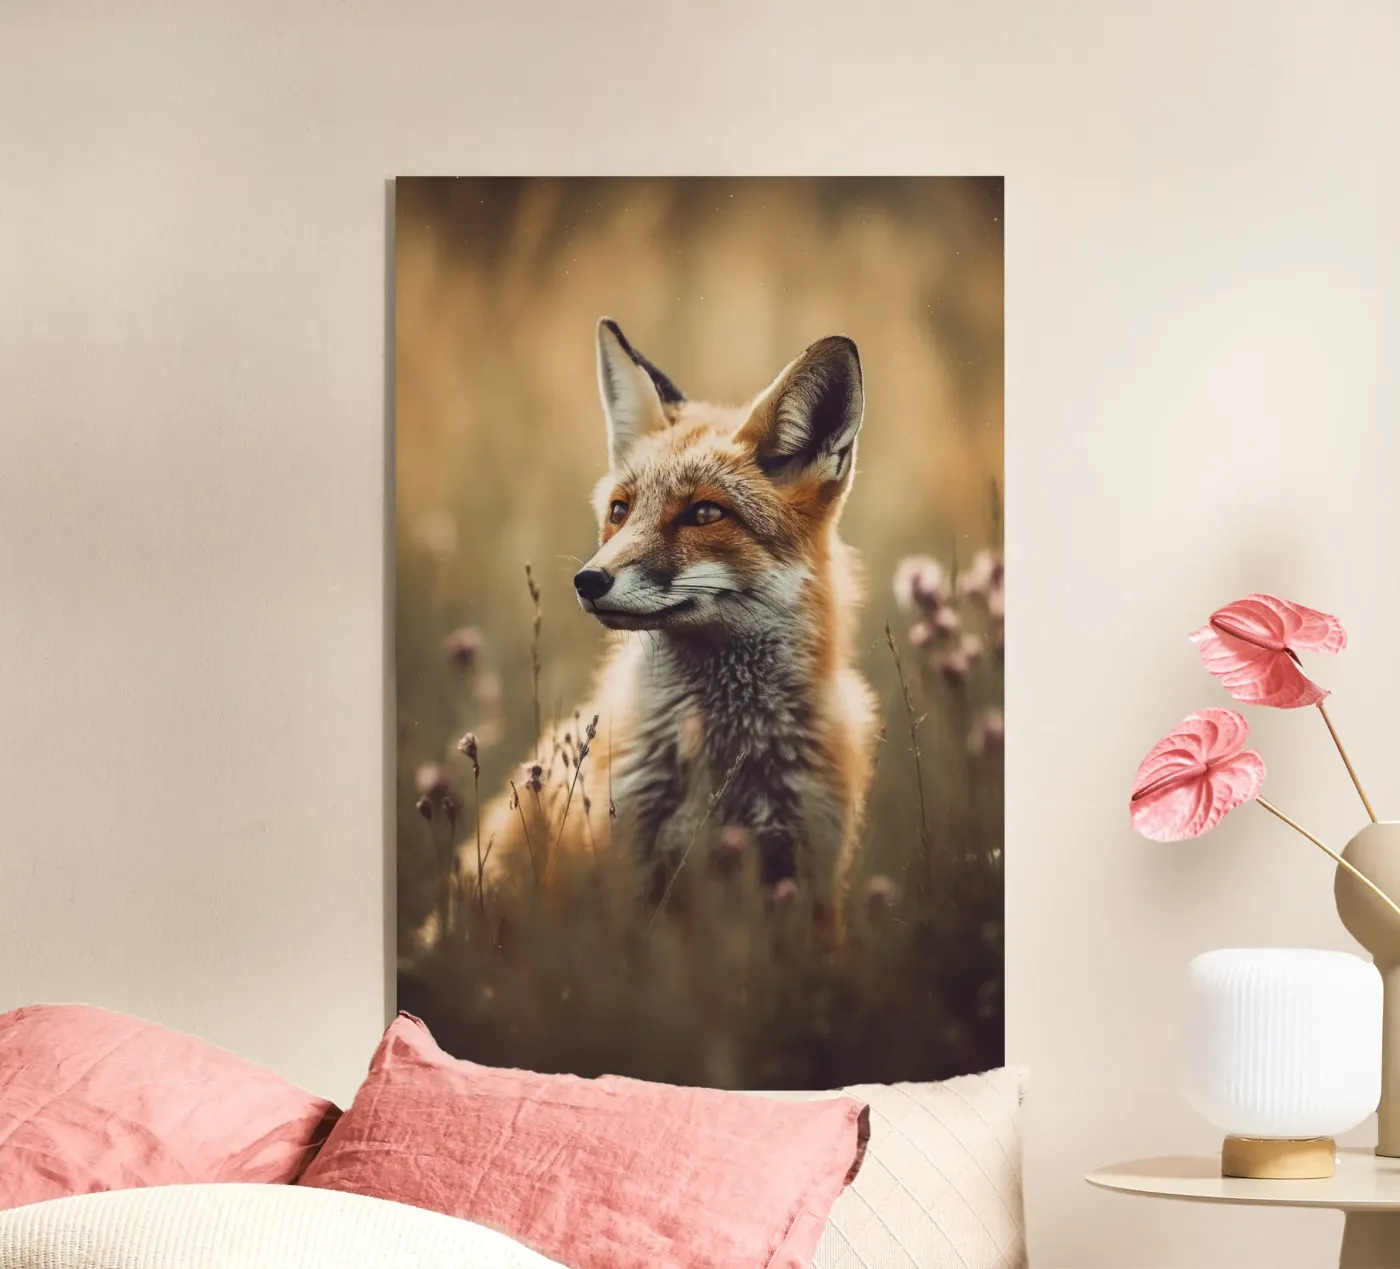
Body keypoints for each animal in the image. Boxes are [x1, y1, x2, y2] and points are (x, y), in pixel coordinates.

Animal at [421, 318, 878, 947]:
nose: (587, 580)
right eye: (620, 510)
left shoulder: (809, 877)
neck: (724, 760)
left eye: (705, 514)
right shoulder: (625, 868)